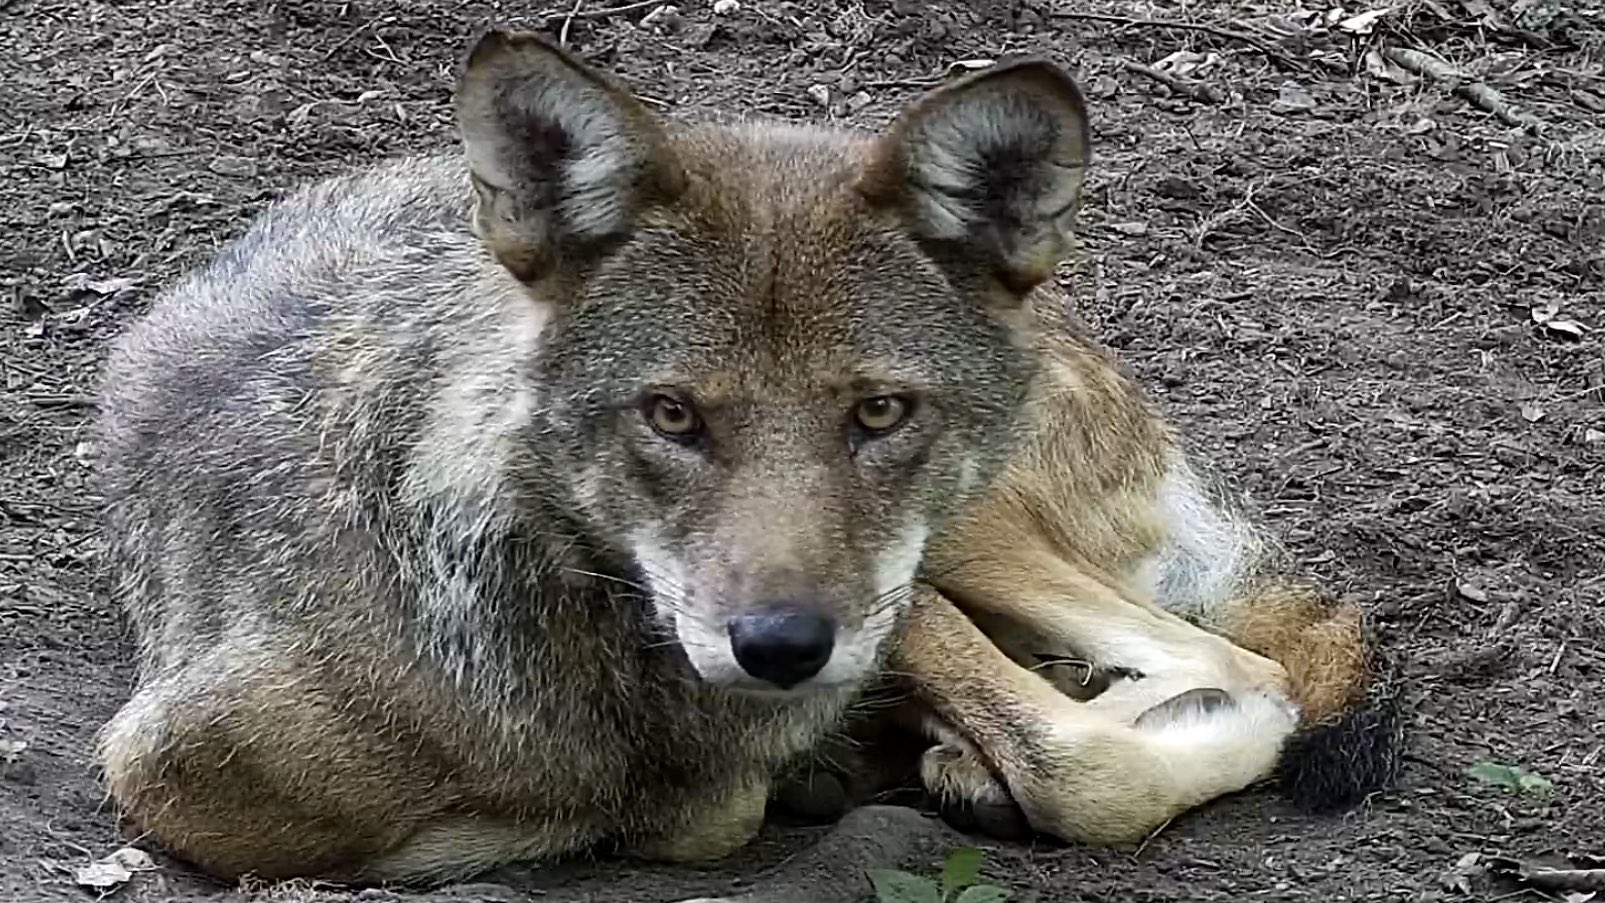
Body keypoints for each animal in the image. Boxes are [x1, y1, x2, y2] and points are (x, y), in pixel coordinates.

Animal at [92, 29, 1398, 887]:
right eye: (671, 416)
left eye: (878, 413)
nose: (779, 648)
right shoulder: (164, 766)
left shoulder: (880, 618)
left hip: (967, 543)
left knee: (1230, 670)